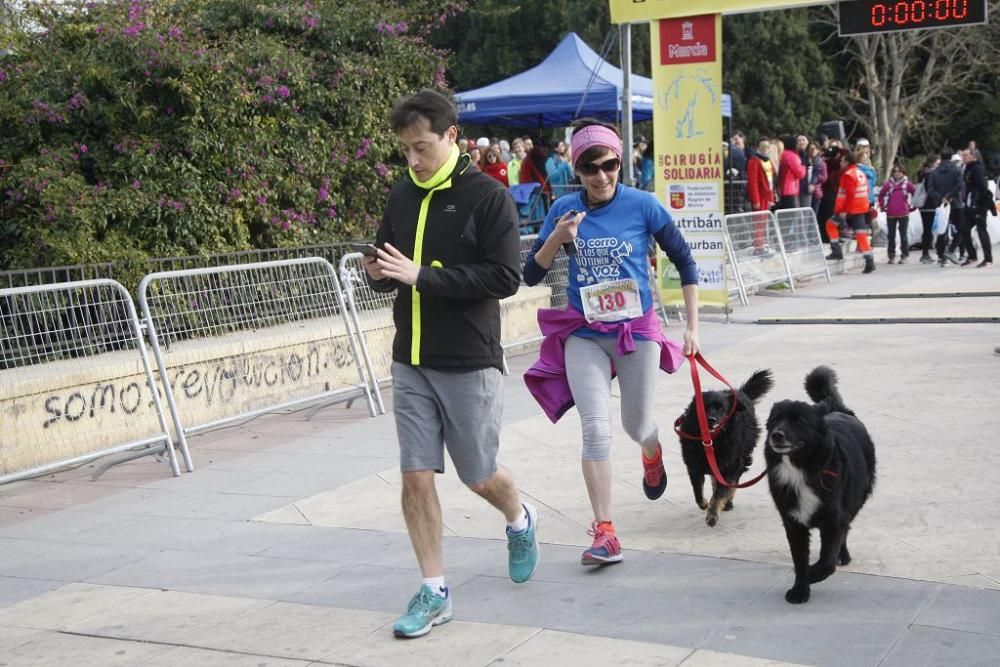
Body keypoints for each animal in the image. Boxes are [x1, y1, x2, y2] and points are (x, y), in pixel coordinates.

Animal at [680, 370, 772, 528]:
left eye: (721, 408)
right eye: (704, 407)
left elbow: (720, 493)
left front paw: (712, 514)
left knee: (732, 483)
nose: (711, 419)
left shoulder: (729, 466)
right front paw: (705, 504)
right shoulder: (694, 466)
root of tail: (741, 393)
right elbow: (698, 492)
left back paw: (727, 502)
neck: (711, 440)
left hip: (741, 458)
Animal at [764, 366, 876, 604]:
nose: (776, 435)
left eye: (798, 421)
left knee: (846, 529)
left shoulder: (834, 518)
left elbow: (827, 562)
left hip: (855, 500)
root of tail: (839, 410)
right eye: (775, 419)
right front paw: (800, 590)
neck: (800, 469)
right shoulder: (793, 522)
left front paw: (813, 573)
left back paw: (843, 555)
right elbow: (799, 559)